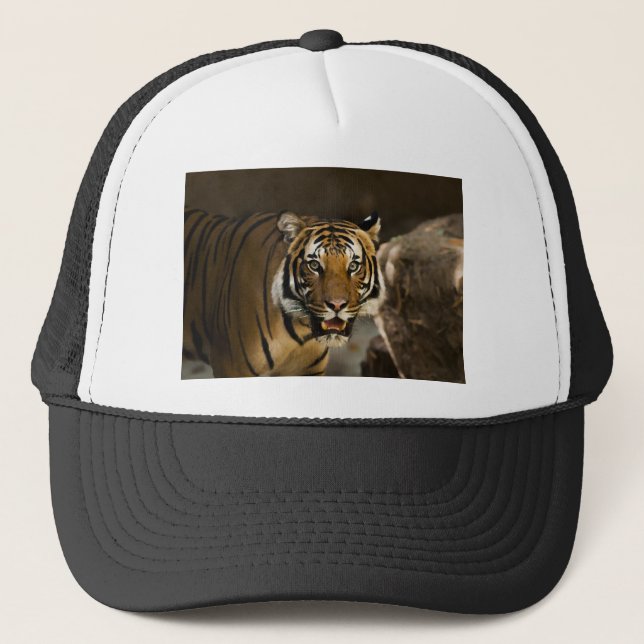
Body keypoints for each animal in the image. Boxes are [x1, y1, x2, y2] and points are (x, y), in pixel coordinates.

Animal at [183, 209, 383, 377]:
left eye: (353, 266)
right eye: (314, 265)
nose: (337, 305)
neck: (300, 332)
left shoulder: (310, 371)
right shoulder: (230, 367)